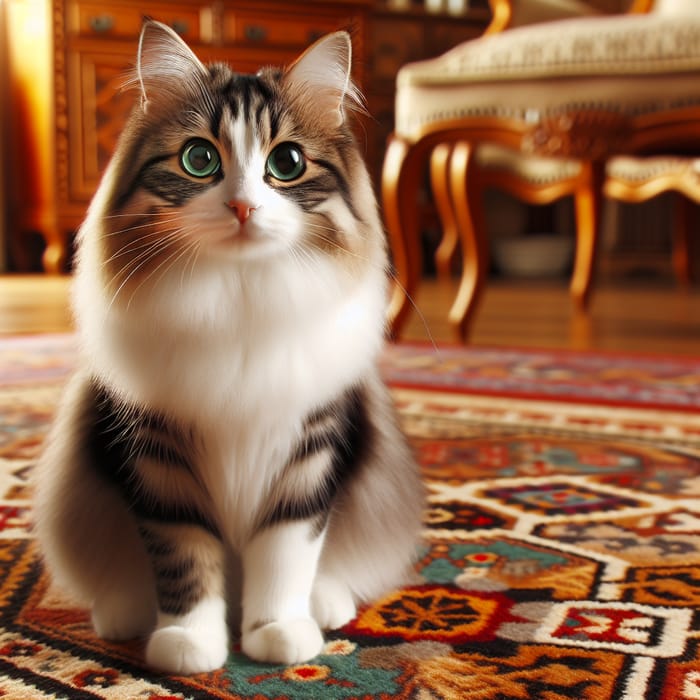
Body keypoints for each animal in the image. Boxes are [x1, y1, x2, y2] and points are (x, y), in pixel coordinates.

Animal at [35, 19, 424, 676]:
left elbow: (286, 554)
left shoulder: (308, 450)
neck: (239, 296)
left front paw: (276, 632)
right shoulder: (158, 454)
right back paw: (124, 615)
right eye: (200, 159)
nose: (243, 206)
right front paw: (189, 641)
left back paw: (326, 606)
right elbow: (184, 557)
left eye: (286, 162)